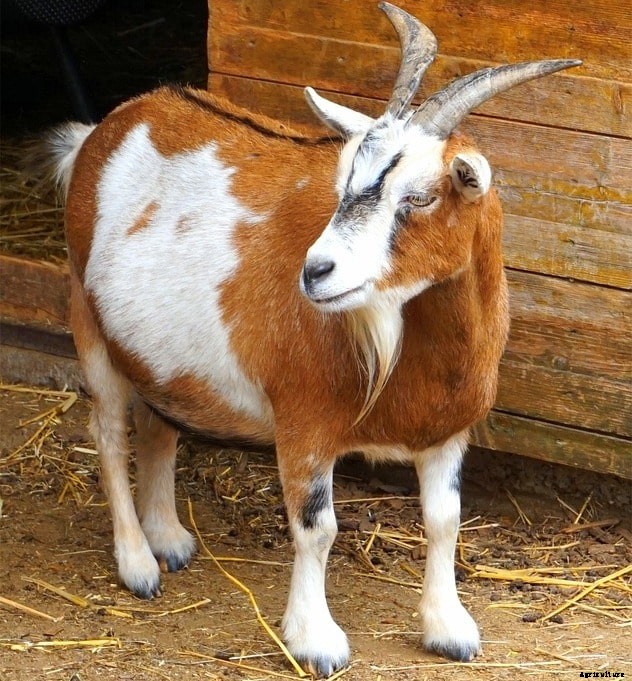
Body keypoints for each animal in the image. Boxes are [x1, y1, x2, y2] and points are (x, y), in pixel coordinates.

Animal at [43, 3, 580, 676]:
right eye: (345, 180)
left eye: (421, 196)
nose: (316, 271)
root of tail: (105, 128)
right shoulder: (305, 422)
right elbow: (316, 528)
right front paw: (314, 640)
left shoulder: (446, 432)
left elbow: (445, 521)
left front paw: (449, 628)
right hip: (88, 322)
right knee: (109, 433)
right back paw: (138, 564)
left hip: (157, 354)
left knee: (157, 424)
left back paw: (168, 537)